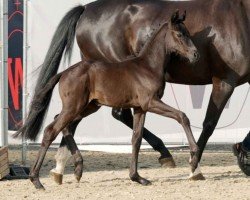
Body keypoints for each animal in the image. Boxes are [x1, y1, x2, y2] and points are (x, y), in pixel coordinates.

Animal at [15, 10, 199, 189]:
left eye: (188, 33)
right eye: (179, 34)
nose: (195, 54)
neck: (148, 67)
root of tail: (64, 72)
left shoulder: (140, 108)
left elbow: (136, 139)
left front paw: (137, 177)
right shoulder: (150, 102)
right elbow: (182, 116)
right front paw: (194, 157)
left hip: (89, 106)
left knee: (63, 125)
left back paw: (78, 168)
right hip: (74, 106)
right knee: (50, 130)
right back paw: (36, 179)